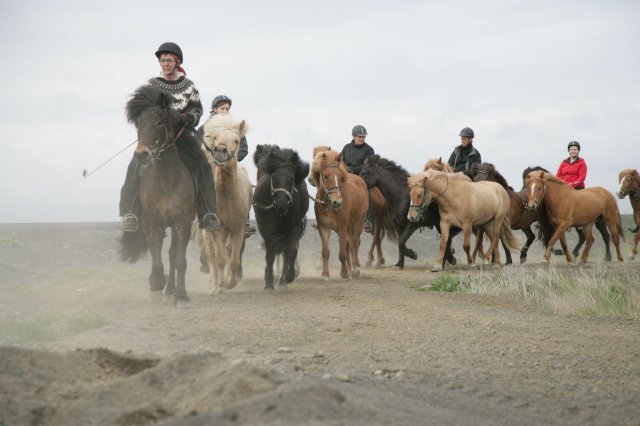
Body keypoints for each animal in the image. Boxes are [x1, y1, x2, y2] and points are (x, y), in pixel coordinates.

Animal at [119, 85, 195, 304]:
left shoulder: (182, 223)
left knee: (171, 255)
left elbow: (179, 261)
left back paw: (171, 290)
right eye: (138, 123)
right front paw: (156, 282)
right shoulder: (153, 222)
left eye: (160, 122)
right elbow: (156, 258)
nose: (141, 154)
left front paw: (181, 294)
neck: (167, 180)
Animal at [200, 113, 252, 294]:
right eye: (215, 138)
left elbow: (233, 258)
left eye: (236, 140)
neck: (227, 195)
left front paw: (231, 282)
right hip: (208, 232)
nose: (220, 150)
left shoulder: (238, 229)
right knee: (211, 255)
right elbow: (220, 259)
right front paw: (220, 286)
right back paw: (215, 285)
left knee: (227, 251)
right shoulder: (217, 229)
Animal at [252, 146, 310, 290]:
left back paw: (284, 278)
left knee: (286, 252)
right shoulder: (265, 229)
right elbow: (270, 255)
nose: (281, 204)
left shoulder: (294, 227)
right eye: (273, 177)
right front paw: (268, 281)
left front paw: (289, 276)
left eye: (292, 179)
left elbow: (291, 252)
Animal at [312, 150, 368, 280]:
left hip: (358, 222)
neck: (329, 207)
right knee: (348, 245)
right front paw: (325, 274)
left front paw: (344, 273)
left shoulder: (342, 228)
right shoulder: (324, 228)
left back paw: (355, 269)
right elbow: (326, 252)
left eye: (341, 177)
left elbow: (342, 253)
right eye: (325, 176)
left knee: (355, 243)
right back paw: (350, 268)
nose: (337, 202)